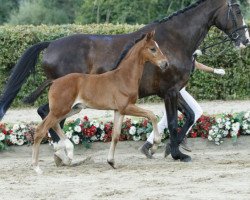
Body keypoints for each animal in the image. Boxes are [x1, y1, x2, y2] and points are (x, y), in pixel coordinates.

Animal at [31, 31, 168, 173]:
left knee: (54, 124)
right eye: (153, 49)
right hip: (60, 110)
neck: (124, 77)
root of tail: (54, 81)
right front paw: (155, 145)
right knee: (40, 130)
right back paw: (37, 167)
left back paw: (68, 153)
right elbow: (151, 115)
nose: (165, 63)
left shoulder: (118, 111)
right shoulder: (126, 107)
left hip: (72, 109)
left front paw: (111, 162)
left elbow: (115, 136)